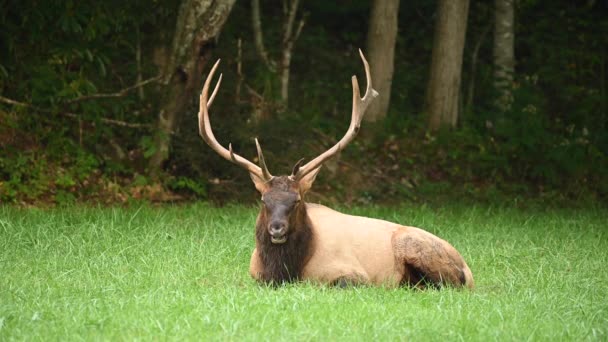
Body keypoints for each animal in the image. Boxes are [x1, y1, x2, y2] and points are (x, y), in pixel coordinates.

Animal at [200, 48, 476, 288]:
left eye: (297, 200)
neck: (285, 271)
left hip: (417, 247)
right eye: (263, 200)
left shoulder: (352, 273)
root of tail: (468, 270)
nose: (276, 229)